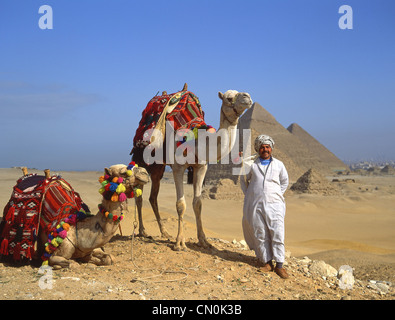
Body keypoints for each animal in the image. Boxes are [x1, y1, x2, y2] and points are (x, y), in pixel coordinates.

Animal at [131, 84, 252, 250]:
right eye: (228, 98)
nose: (248, 97)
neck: (199, 141)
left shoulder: (201, 167)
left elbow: (198, 203)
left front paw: (203, 240)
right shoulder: (178, 167)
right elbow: (180, 204)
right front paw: (180, 242)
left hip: (158, 168)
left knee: (153, 197)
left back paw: (164, 232)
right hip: (142, 159)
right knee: (139, 197)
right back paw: (142, 231)